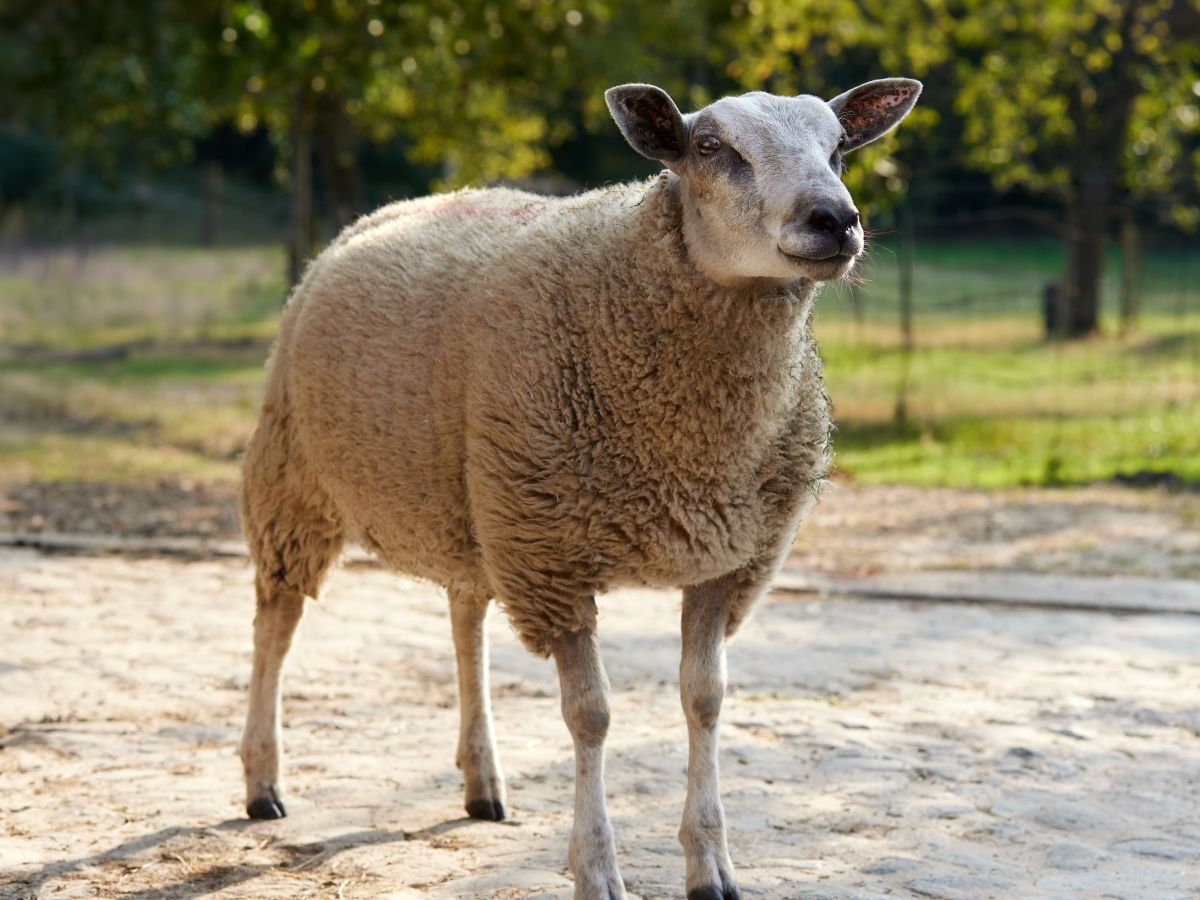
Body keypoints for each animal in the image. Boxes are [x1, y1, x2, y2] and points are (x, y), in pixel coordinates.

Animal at [238, 78, 921, 900]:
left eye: (838, 148)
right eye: (710, 148)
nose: (836, 220)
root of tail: (403, 206)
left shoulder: (726, 557)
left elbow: (706, 699)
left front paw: (711, 865)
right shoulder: (554, 559)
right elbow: (591, 715)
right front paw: (596, 868)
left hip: (475, 504)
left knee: (464, 621)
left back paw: (483, 783)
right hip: (295, 479)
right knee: (275, 621)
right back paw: (263, 784)